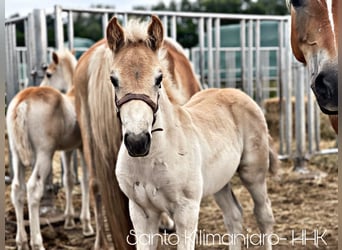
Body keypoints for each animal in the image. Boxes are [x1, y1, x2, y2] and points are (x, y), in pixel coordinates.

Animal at [6, 49, 93, 249]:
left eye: (49, 74)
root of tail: (23, 101)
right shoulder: (82, 147)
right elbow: (84, 179)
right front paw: (86, 225)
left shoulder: (67, 149)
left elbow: (69, 179)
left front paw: (69, 221)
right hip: (44, 154)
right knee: (33, 188)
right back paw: (37, 242)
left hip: (16, 153)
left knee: (17, 188)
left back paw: (21, 241)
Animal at [109, 16, 278, 250]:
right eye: (113, 79)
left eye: (159, 78)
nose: (137, 142)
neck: (153, 158)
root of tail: (235, 91)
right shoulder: (141, 212)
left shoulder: (186, 210)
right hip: (219, 181)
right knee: (234, 215)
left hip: (253, 173)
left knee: (264, 214)